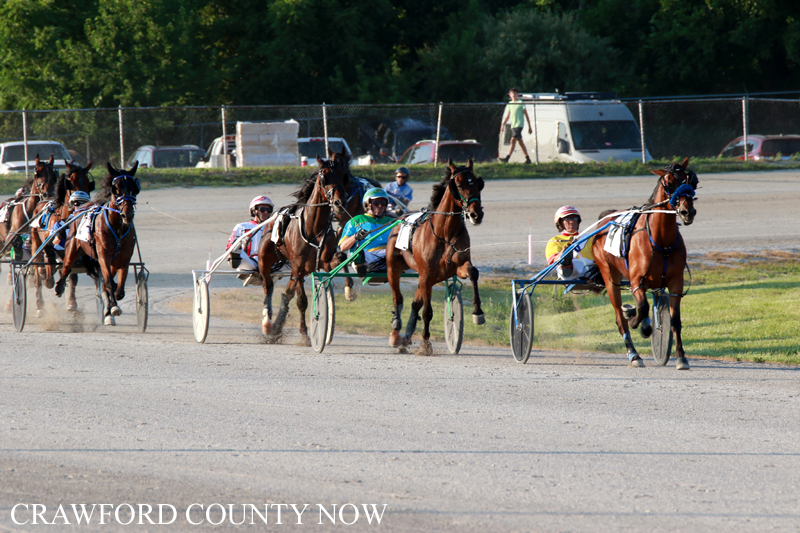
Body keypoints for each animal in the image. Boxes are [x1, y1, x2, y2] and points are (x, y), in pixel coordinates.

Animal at [29, 160, 95, 316]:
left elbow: (72, 275)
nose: (82, 202)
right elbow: (48, 263)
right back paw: (40, 303)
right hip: (35, 242)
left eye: (88, 183)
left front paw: (72, 302)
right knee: (38, 269)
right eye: (71, 183)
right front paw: (49, 279)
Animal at [54, 162, 140, 325]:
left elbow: (119, 289)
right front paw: (113, 307)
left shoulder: (124, 260)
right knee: (66, 266)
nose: (128, 214)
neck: (117, 228)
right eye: (116, 188)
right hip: (72, 248)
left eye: (135, 187)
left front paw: (112, 305)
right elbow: (108, 282)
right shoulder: (103, 255)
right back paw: (59, 286)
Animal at [257, 155, 347, 344]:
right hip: (265, 260)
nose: (339, 202)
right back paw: (268, 323)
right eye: (324, 175)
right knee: (268, 287)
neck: (314, 228)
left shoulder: (322, 262)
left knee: (293, 296)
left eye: (343, 174)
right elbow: (294, 298)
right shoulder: (297, 265)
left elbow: (339, 257)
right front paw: (288, 330)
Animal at [385, 158, 486, 356]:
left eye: (479, 184)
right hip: (394, 268)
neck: (445, 233)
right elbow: (427, 312)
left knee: (415, 304)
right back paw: (396, 331)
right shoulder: (426, 275)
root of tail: (401, 218)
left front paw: (478, 312)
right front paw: (425, 344)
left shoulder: (456, 267)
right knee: (397, 298)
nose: (476, 214)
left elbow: (473, 272)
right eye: (459, 185)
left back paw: (405, 339)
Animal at [592, 157, 698, 369]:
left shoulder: (675, 282)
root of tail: (605, 219)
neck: (662, 242)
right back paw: (634, 354)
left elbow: (675, 321)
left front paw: (681, 357)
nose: (687, 211)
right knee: (620, 318)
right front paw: (638, 324)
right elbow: (641, 309)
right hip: (610, 277)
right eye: (669, 183)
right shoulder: (636, 282)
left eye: (690, 180)